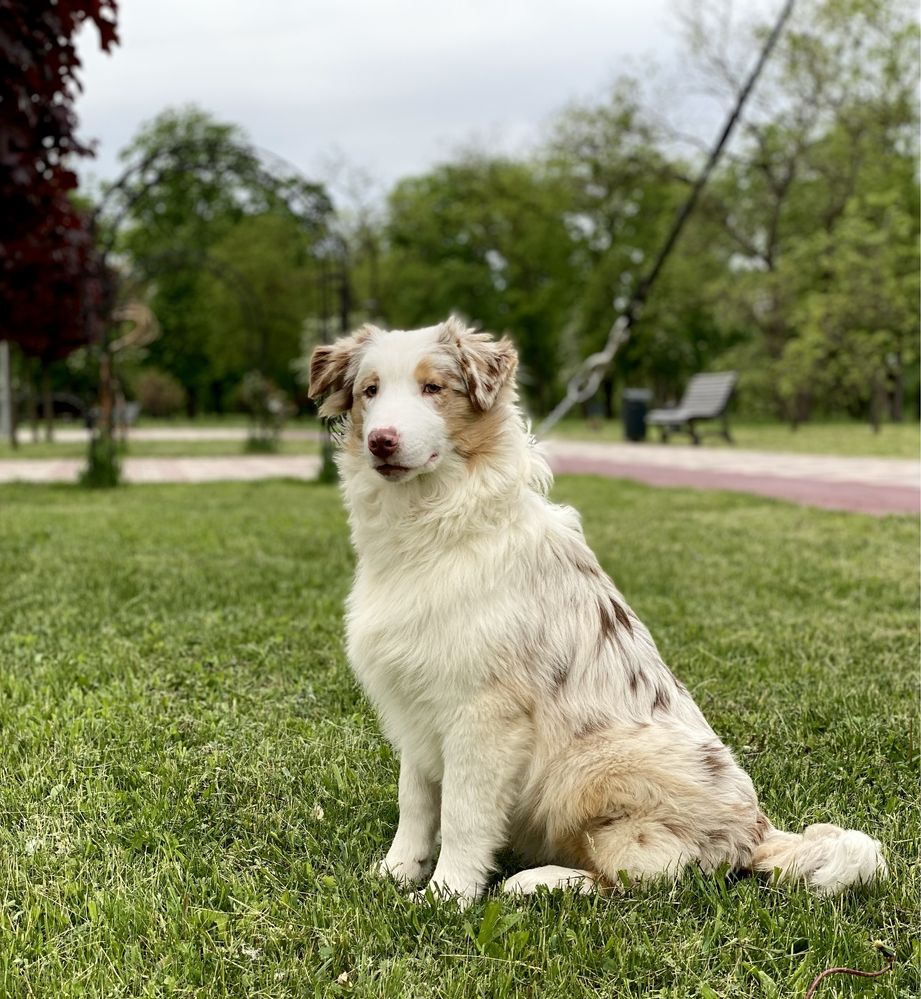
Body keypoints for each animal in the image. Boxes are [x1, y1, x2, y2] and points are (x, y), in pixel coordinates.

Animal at [310, 316, 884, 904]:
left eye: (433, 388)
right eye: (370, 391)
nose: (381, 441)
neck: (429, 527)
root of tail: (757, 832)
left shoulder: (484, 713)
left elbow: (465, 815)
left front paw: (446, 897)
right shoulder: (414, 706)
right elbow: (417, 802)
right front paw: (397, 872)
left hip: (591, 764)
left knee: (645, 877)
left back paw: (536, 882)